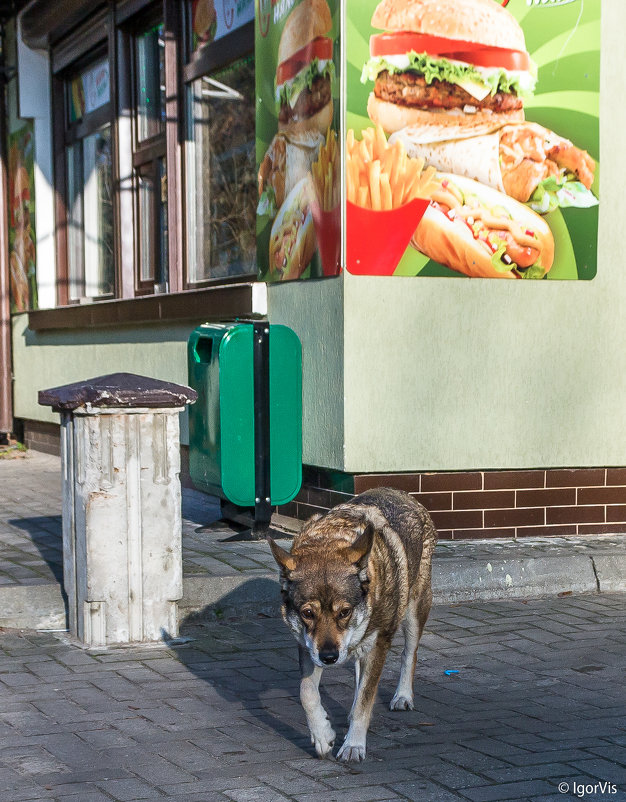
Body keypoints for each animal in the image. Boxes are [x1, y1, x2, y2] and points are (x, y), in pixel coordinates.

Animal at [266, 484, 434, 760]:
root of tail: (397, 491)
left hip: (413, 612)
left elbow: (365, 701)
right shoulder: (307, 648)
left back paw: (402, 697)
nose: (329, 658)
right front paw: (323, 736)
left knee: (409, 654)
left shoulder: (378, 646)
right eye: (307, 613)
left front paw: (354, 745)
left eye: (344, 612)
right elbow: (306, 693)